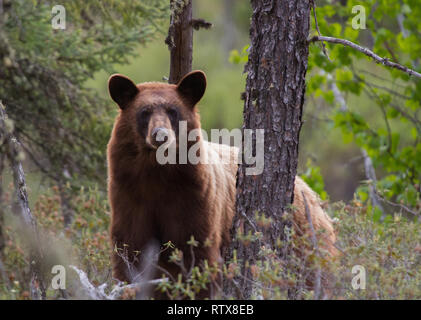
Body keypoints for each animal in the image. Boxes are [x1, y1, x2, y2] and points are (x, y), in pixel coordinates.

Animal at [106, 70, 336, 300]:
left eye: (173, 111)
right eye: (144, 112)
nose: (160, 134)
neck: (156, 175)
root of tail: (311, 194)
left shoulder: (195, 199)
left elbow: (200, 256)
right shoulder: (129, 197)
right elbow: (130, 254)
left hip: (305, 239)